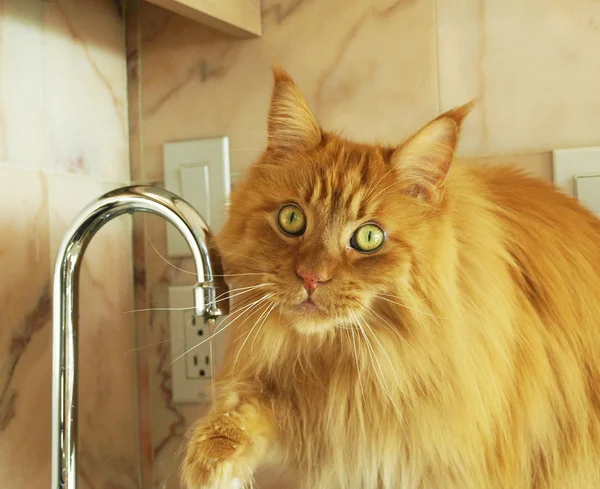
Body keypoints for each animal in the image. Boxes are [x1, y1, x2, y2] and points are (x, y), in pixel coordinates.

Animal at [182, 66, 600, 488]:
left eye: (369, 237)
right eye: (292, 219)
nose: (311, 277)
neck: (350, 367)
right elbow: (240, 409)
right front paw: (210, 461)